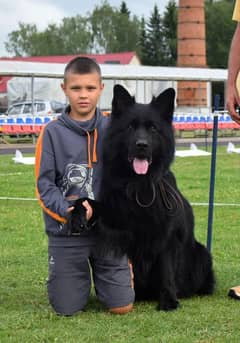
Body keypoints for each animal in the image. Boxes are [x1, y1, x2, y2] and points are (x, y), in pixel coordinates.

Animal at [70, 85, 215, 312]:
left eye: (153, 128)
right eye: (130, 127)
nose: (142, 145)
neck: (139, 186)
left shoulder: (166, 237)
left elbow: (166, 270)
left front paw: (168, 300)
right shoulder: (117, 220)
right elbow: (88, 202)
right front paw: (78, 213)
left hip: (202, 254)